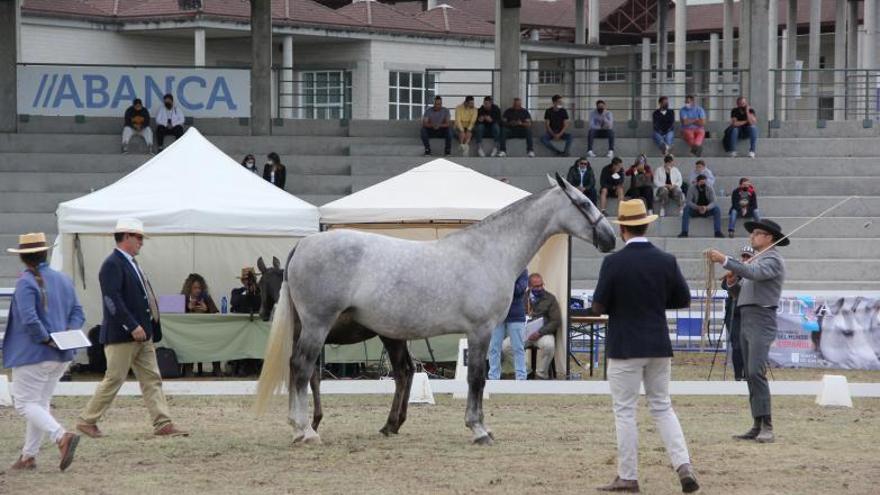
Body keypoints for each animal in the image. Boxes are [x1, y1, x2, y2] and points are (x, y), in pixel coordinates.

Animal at [253, 174, 612, 446]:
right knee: (301, 368)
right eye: (584, 203)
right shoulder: (480, 331)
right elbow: (477, 378)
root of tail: (305, 244)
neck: (487, 252)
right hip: (318, 325)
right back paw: (306, 430)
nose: (609, 237)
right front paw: (479, 429)